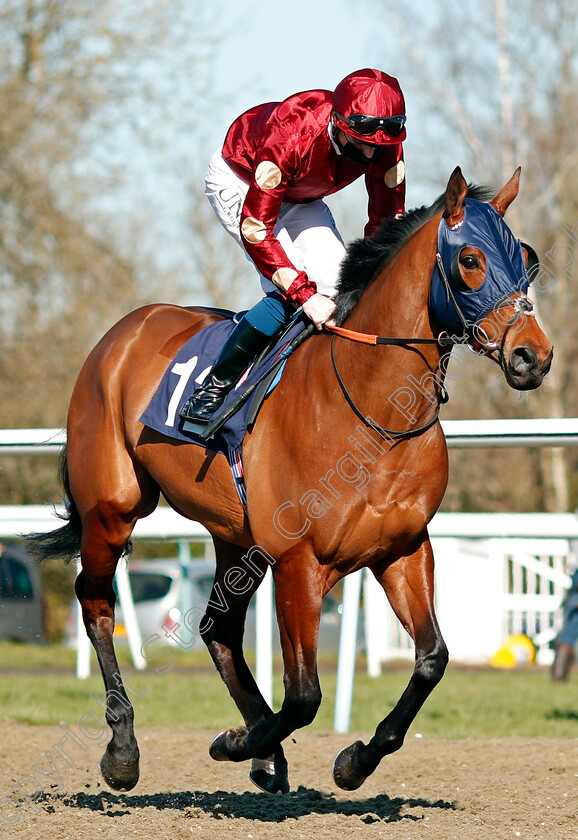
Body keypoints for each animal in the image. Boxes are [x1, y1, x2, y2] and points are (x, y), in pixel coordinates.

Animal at [27, 169, 548, 796]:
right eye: (470, 259)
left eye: (528, 258)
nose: (534, 356)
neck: (372, 410)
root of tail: (123, 330)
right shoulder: (299, 562)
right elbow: (303, 697)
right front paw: (236, 743)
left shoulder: (402, 550)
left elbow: (431, 659)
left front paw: (351, 760)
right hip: (113, 507)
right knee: (97, 602)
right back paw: (124, 748)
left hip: (236, 535)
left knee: (219, 628)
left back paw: (262, 751)